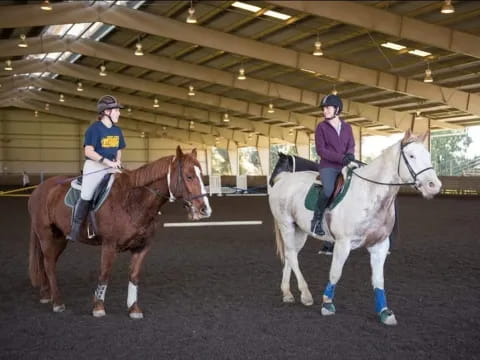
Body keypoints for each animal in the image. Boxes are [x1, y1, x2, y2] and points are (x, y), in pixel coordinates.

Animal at [28, 146, 211, 318]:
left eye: (201, 175)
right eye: (189, 176)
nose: (205, 210)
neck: (133, 201)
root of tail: (39, 189)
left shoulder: (142, 247)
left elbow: (134, 276)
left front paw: (133, 308)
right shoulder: (109, 245)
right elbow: (104, 273)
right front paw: (98, 307)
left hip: (60, 238)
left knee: (48, 262)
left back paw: (47, 294)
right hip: (46, 236)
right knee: (49, 264)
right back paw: (58, 302)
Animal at [268, 130, 440, 326]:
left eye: (428, 155)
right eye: (411, 156)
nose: (434, 186)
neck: (369, 192)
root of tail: (283, 180)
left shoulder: (380, 246)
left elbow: (378, 280)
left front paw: (384, 312)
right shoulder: (343, 244)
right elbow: (335, 273)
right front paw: (327, 304)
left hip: (300, 231)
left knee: (291, 255)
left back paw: (287, 293)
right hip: (286, 225)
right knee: (291, 255)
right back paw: (305, 294)